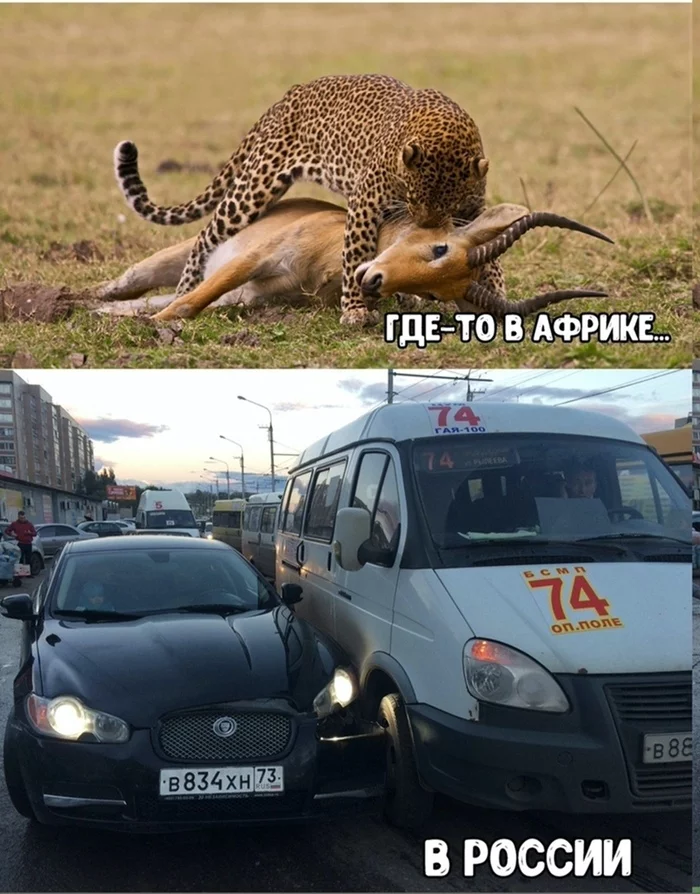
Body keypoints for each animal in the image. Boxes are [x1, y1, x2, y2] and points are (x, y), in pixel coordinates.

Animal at [115, 73, 494, 326]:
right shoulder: (366, 201)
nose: (425, 225)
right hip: (254, 188)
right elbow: (355, 251)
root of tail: (286, 98)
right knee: (206, 238)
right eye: (414, 198)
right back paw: (186, 284)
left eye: (449, 206)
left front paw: (494, 296)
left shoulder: (474, 206)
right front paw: (354, 309)